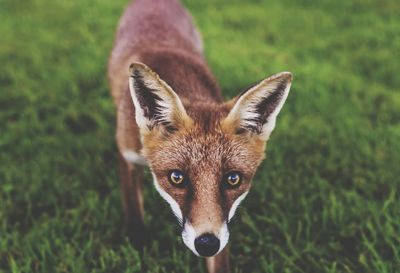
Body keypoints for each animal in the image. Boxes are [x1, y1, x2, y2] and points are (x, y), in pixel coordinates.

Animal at [108, 0, 292, 270]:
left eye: (233, 179)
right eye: (176, 177)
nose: (207, 244)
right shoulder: (127, 155)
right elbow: (135, 216)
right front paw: (139, 245)